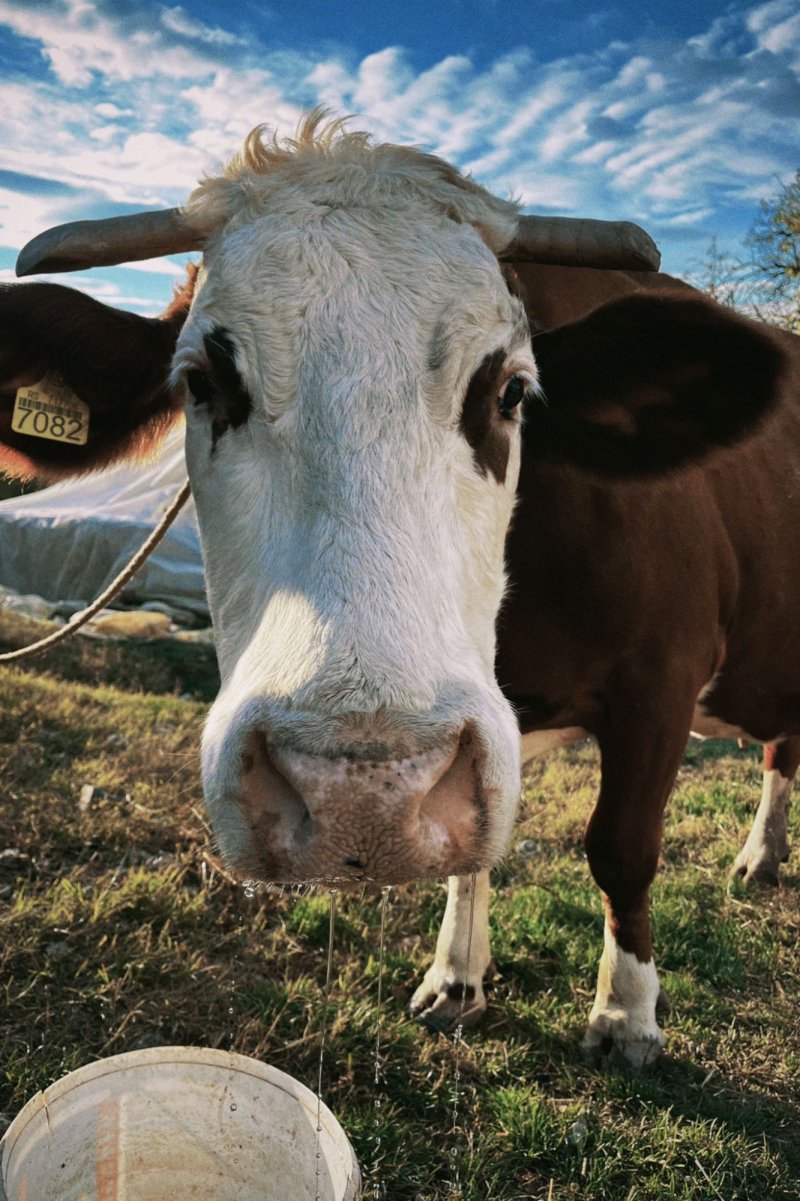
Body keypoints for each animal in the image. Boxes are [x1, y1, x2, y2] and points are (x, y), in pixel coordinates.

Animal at [0, 115, 797, 1069]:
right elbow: (473, 847)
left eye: (512, 389)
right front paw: (456, 978)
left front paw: (626, 1015)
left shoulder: (662, 679)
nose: (359, 797)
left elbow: (622, 847)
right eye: (202, 382)